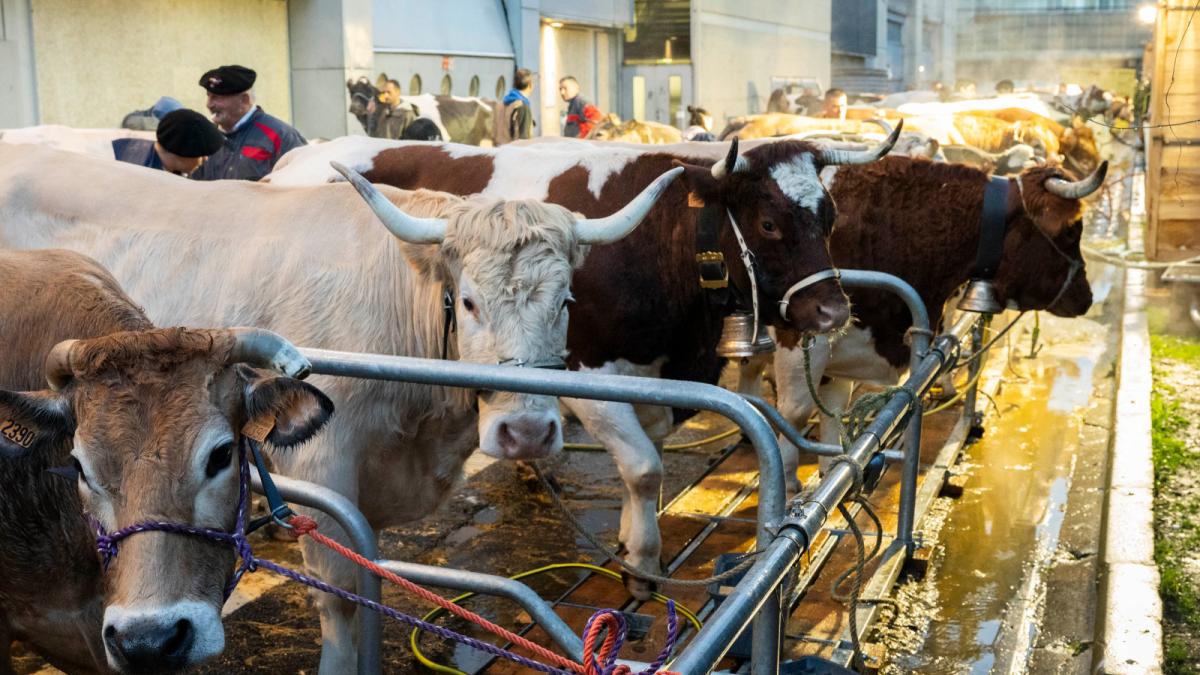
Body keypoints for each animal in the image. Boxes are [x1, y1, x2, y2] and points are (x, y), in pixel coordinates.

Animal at [264, 128, 902, 599]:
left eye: (829, 217)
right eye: (769, 223)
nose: (832, 310)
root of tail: (299, 156)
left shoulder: (657, 381)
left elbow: (646, 462)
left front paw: (629, 539)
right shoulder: (587, 376)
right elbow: (644, 468)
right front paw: (642, 566)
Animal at [766, 157, 1105, 491]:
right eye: (1071, 231)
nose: (1086, 298)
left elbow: (834, 409)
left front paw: (831, 475)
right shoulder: (800, 336)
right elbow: (796, 411)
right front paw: (789, 485)